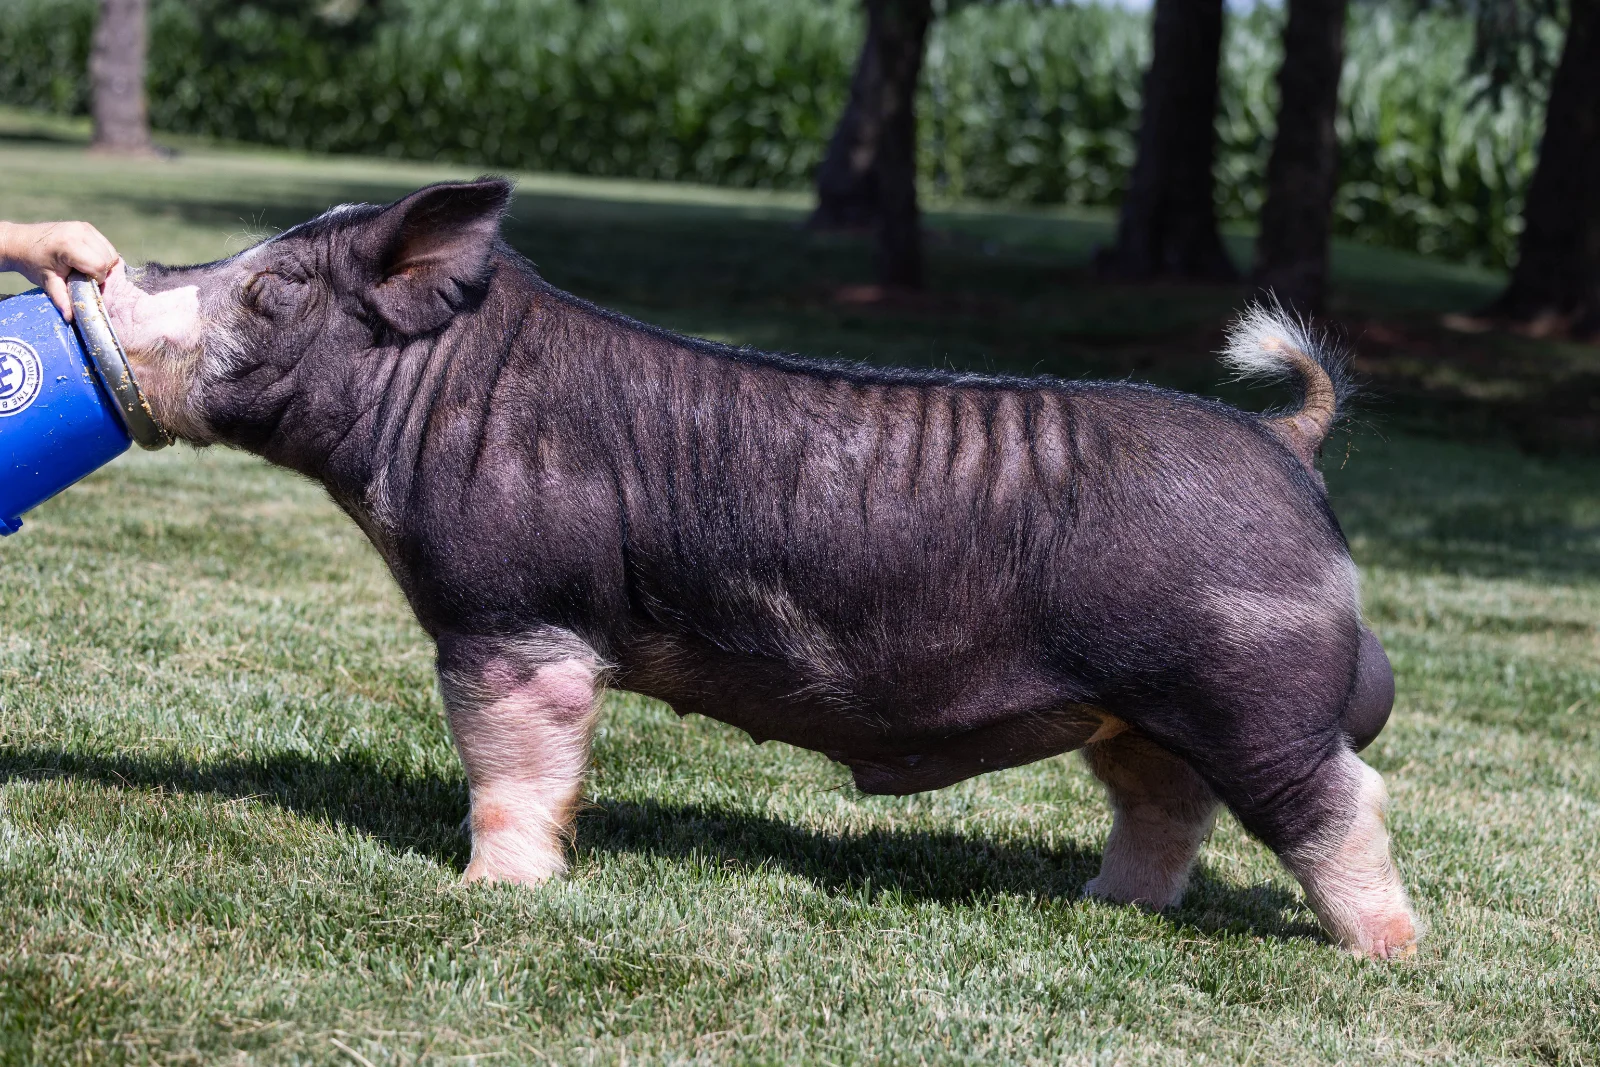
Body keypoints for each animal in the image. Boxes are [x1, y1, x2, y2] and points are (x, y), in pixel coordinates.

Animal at [100, 177, 1416, 960]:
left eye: (273, 288)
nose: (122, 277)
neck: (436, 392)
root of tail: (1284, 439)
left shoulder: (513, 617)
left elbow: (511, 765)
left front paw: (486, 894)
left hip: (1248, 688)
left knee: (1338, 799)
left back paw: (1383, 952)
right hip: (1141, 704)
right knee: (1164, 800)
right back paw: (1106, 909)